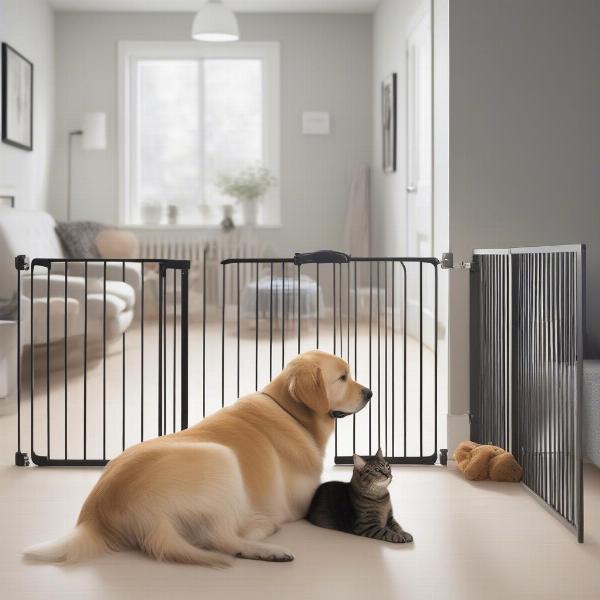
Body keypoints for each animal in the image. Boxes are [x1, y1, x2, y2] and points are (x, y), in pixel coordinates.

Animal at [24, 350, 370, 564]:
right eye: (342, 377)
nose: (370, 393)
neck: (291, 412)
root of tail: (98, 514)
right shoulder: (303, 500)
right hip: (221, 458)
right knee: (220, 539)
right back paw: (267, 543)